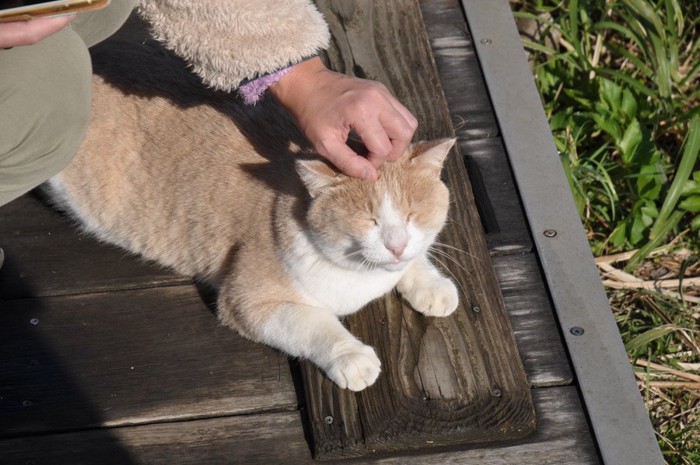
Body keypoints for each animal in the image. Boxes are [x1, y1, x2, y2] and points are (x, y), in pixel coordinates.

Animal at [43, 39, 460, 392]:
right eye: (369, 220)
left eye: (412, 214)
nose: (395, 245)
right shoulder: (250, 302)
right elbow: (313, 323)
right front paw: (351, 356)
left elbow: (415, 261)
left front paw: (431, 283)